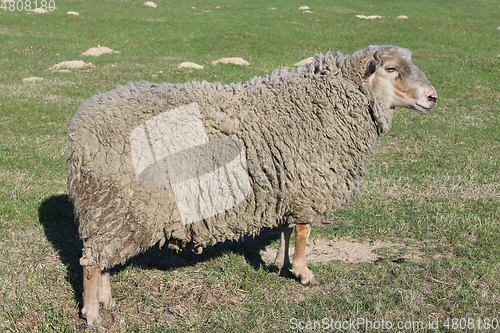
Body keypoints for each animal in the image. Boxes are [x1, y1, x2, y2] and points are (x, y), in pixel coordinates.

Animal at [66, 44, 438, 324]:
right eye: (391, 68)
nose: (432, 97)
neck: (329, 105)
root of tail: (81, 130)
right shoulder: (307, 187)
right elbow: (303, 233)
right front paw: (303, 272)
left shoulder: (287, 187)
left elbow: (287, 230)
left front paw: (282, 265)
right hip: (117, 204)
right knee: (93, 262)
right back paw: (92, 312)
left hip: (111, 210)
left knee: (101, 258)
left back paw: (106, 299)